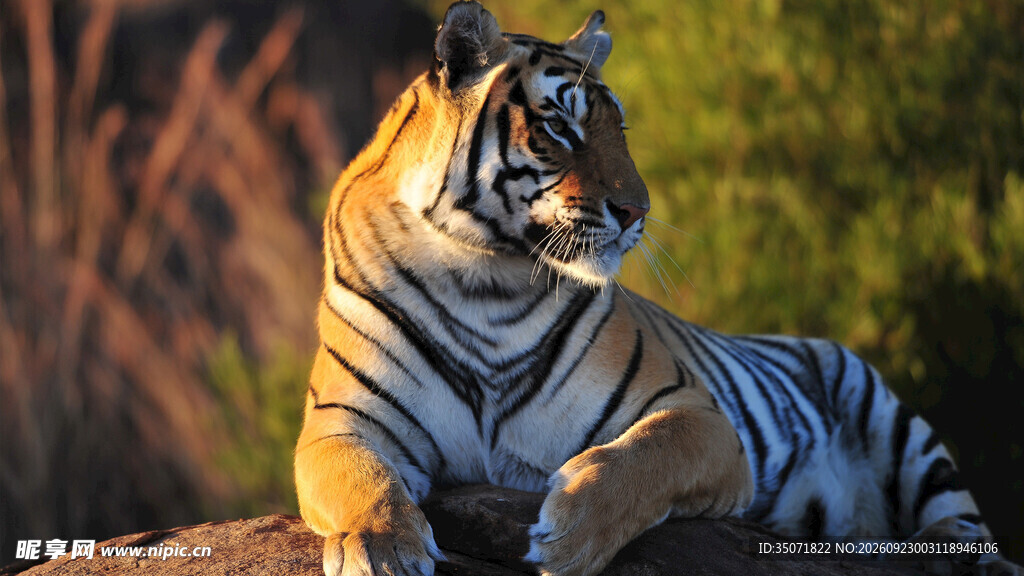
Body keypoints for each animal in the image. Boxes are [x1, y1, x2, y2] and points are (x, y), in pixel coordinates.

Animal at [293, 3, 1017, 576]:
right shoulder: (341, 422)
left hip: (896, 425)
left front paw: (571, 533)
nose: (637, 211)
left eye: (621, 130)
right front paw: (382, 547)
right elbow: (362, 481)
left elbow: (641, 459)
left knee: (964, 521)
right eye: (559, 128)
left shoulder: (699, 416)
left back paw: (964, 554)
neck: (483, 276)